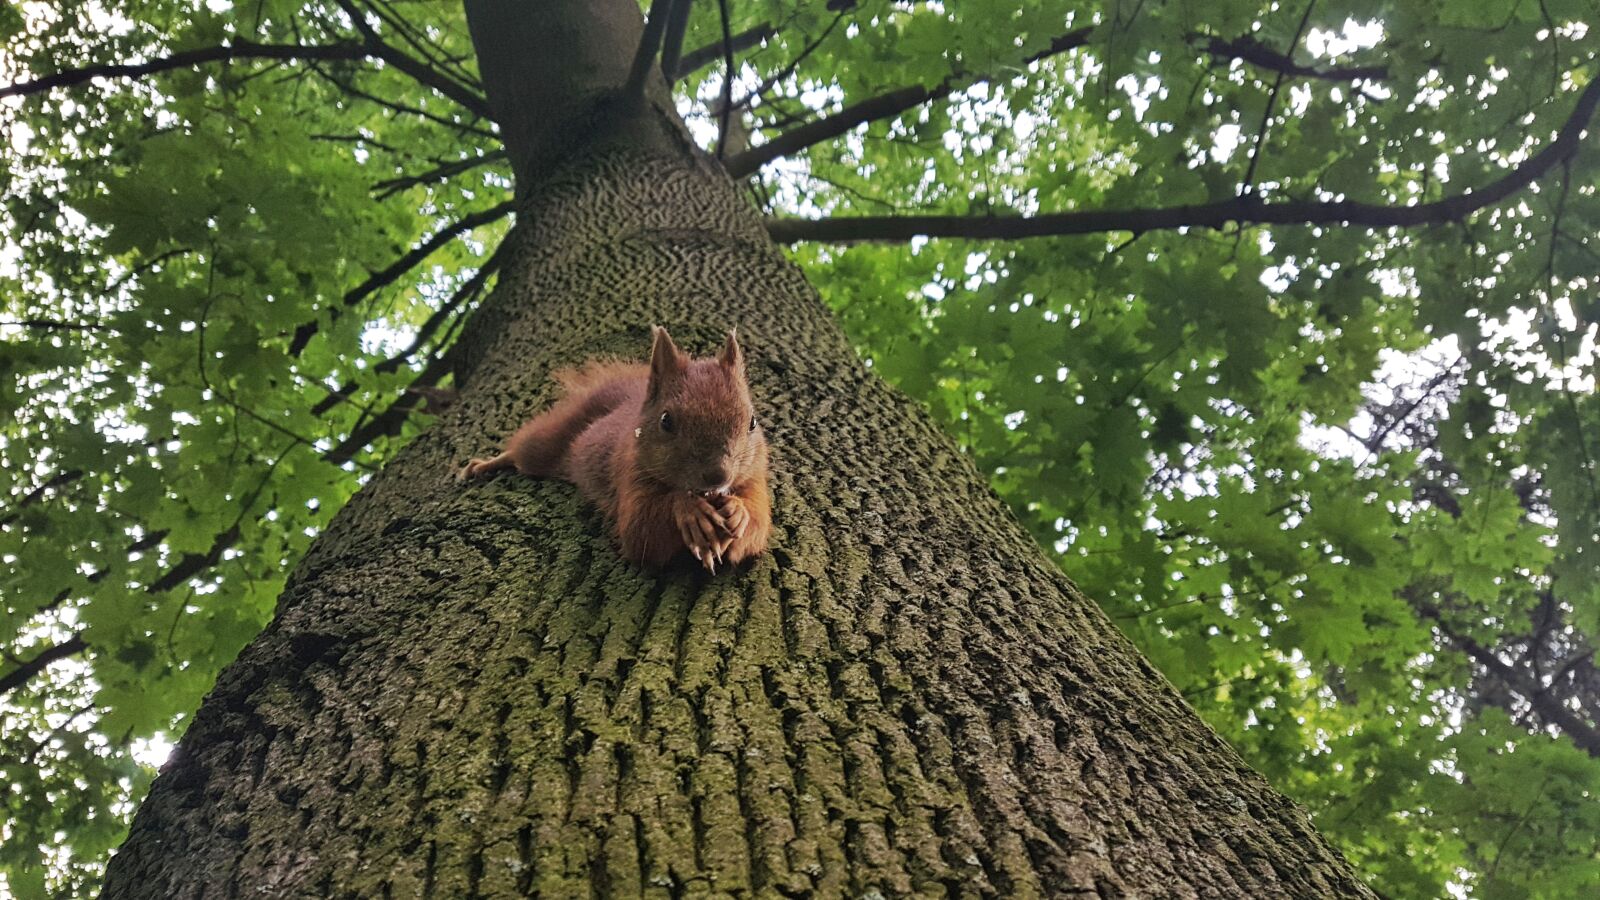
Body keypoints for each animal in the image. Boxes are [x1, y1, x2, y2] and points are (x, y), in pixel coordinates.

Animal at [460, 326, 771, 573]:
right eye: (666, 421)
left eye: (753, 421)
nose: (718, 476)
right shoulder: (629, 474)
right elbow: (641, 530)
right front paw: (690, 511)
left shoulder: (755, 480)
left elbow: (757, 529)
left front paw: (740, 511)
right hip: (546, 442)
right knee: (523, 452)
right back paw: (484, 464)